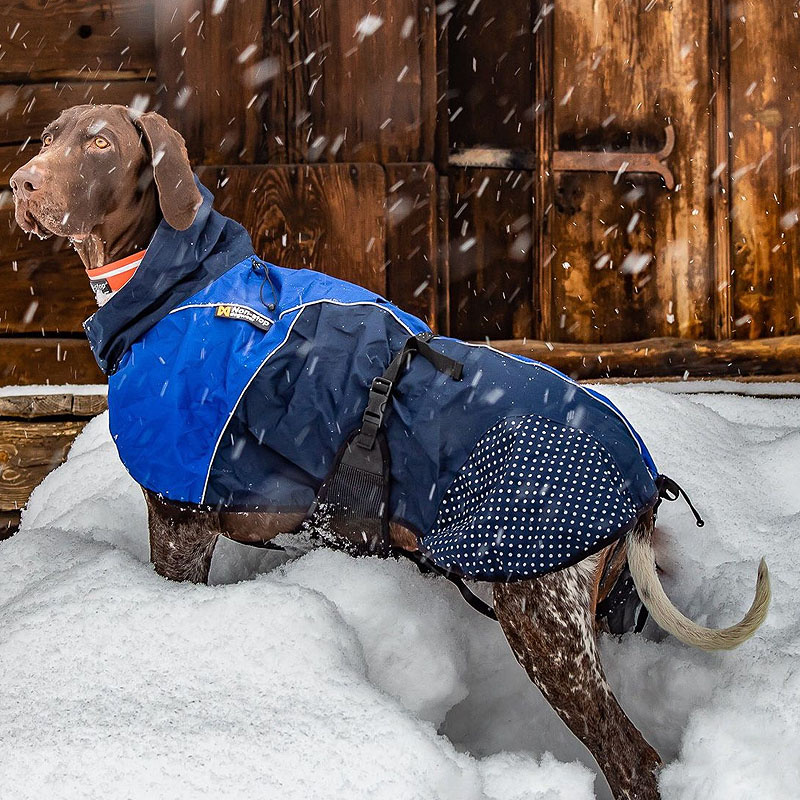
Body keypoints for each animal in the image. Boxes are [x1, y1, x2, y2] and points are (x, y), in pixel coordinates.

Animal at [7, 106, 768, 800]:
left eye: (100, 143)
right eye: (46, 137)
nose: (21, 183)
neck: (173, 286)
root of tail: (641, 475)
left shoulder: (179, 516)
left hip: (540, 614)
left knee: (632, 760)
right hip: (596, 608)